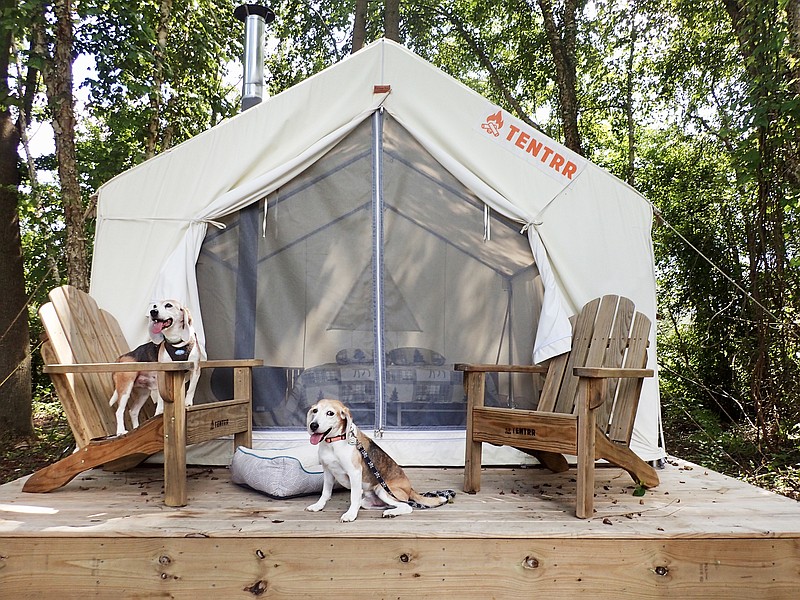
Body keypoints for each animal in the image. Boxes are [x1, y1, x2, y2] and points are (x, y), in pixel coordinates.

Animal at [108, 300, 202, 436]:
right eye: (154, 306)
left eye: (168, 305)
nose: (153, 312)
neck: (176, 342)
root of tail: (121, 358)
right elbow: (162, 400)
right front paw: (159, 412)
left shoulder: (195, 370)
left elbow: (191, 389)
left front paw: (187, 402)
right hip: (125, 387)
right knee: (119, 411)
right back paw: (120, 431)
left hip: (143, 392)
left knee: (133, 411)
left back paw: (136, 428)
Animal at [306, 400, 454, 524]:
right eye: (315, 411)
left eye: (330, 413)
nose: (313, 425)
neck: (333, 442)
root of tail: (410, 488)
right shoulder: (328, 471)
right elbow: (325, 492)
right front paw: (318, 506)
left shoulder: (354, 472)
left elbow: (354, 496)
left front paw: (350, 514)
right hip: (372, 499)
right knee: (380, 504)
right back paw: (387, 510)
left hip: (382, 489)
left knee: (407, 506)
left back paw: (390, 513)